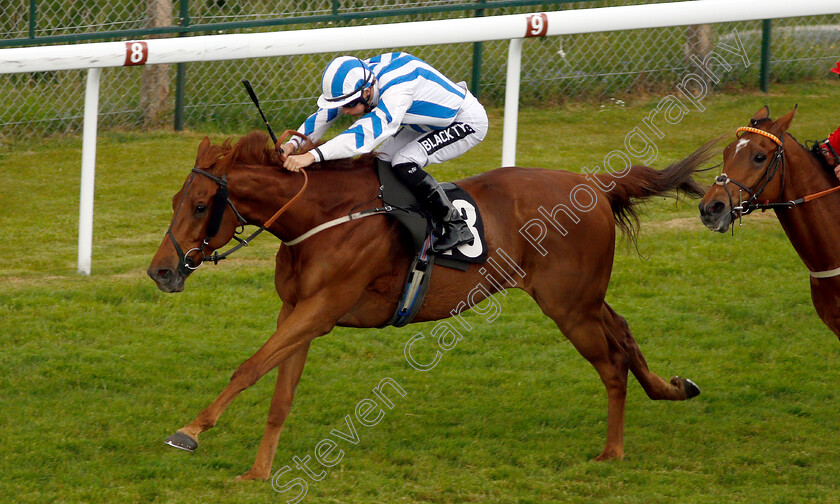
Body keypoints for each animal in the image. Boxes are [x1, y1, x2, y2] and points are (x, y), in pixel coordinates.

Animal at [149, 132, 708, 478]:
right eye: (175, 200)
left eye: (200, 205)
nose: (160, 271)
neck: (323, 216)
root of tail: (595, 184)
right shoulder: (298, 311)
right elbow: (279, 393)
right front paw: (259, 471)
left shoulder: (321, 309)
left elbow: (249, 367)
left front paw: (189, 432)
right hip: (584, 299)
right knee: (625, 331)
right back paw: (672, 388)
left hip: (569, 306)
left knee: (611, 363)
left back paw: (612, 451)